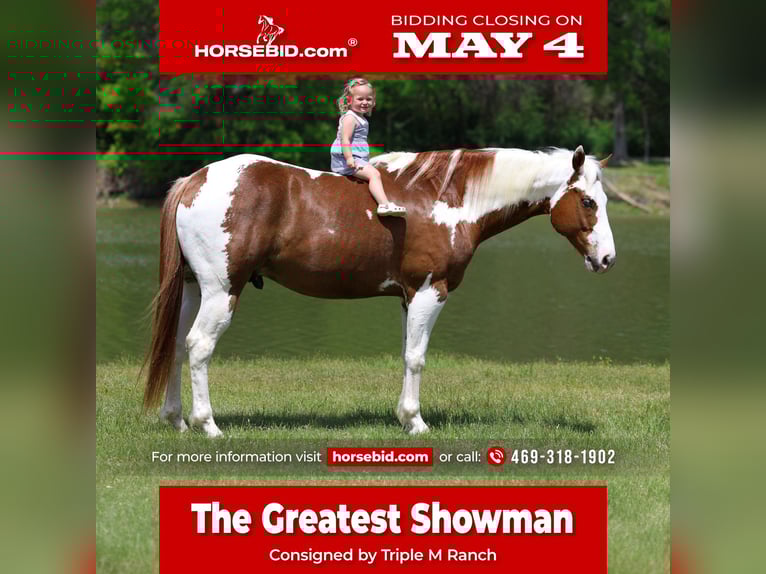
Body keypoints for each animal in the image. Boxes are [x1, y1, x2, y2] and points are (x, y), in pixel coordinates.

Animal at [142, 146, 616, 437]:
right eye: (588, 202)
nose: (608, 259)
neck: (449, 197)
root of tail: (194, 180)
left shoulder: (408, 297)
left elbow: (407, 355)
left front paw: (404, 418)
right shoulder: (430, 291)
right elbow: (417, 357)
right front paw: (416, 422)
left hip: (192, 290)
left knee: (177, 347)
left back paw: (177, 420)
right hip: (221, 291)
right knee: (199, 347)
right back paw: (207, 424)